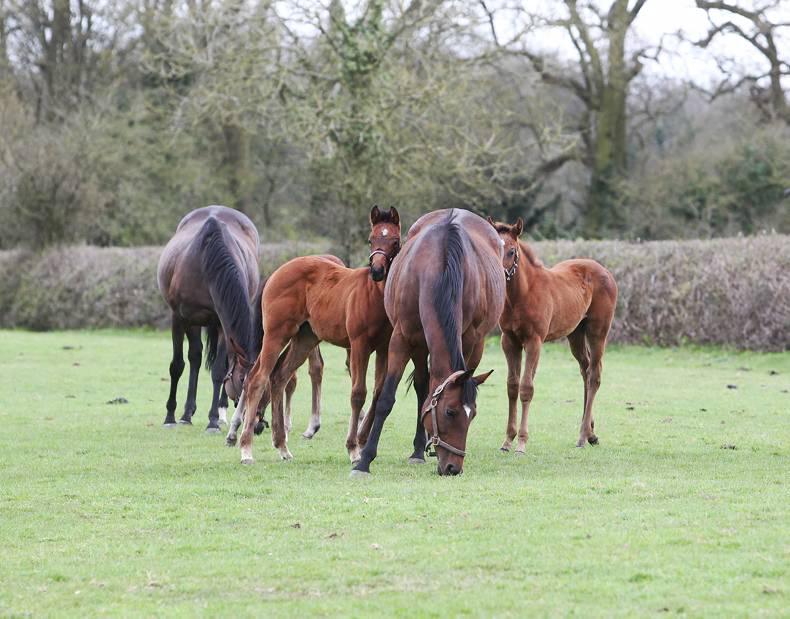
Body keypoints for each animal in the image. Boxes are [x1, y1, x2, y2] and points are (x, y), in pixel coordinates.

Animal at [237, 206, 402, 465]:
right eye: (371, 239)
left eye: (394, 241)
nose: (377, 271)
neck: (373, 295)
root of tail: (276, 273)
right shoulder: (359, 345)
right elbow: (358, 393)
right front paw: (353, 449)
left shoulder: (384, 347)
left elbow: (378, 391)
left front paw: (363, 442)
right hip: (276, 334)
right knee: (258, 378)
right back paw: (246, 450)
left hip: (305, 338)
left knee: (280, 376)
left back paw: (282, 446)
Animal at [352, 208, 505, 477]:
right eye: (450, 412)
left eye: (473, 415)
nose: (453, 468)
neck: (438, 270)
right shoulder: (402, 339)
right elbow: (386, 399)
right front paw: (364, 461)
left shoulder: (467, 339)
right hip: (419, 346)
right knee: (422, 387)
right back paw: (416, 451)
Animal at [487, 217, 618, 451]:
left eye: (511, 251)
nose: (498, 276)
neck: (522, 294)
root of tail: (605, 271)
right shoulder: (509, 340)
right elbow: (512, 386)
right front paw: (507, 440)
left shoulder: (534, 341)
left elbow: (526, 388)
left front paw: (521, 442)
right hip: (576, 334)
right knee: (585, 371)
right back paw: (591, 433)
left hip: (598, 331)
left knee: (594, 375)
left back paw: (582, 437)